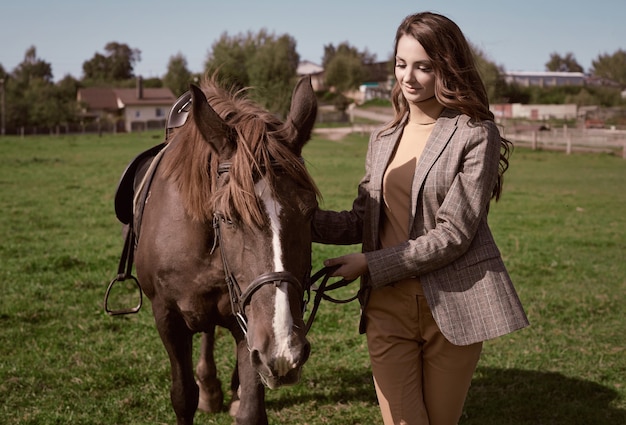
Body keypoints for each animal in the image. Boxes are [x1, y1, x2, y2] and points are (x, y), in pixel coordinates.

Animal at [130, 77, 320, 424]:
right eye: (228, 216)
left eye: (310, 212)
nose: (284, 349)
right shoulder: (166, 315)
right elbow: (182, 396)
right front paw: (200, 391)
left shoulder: (248, 327)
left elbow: (251, 410)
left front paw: (239, 395)